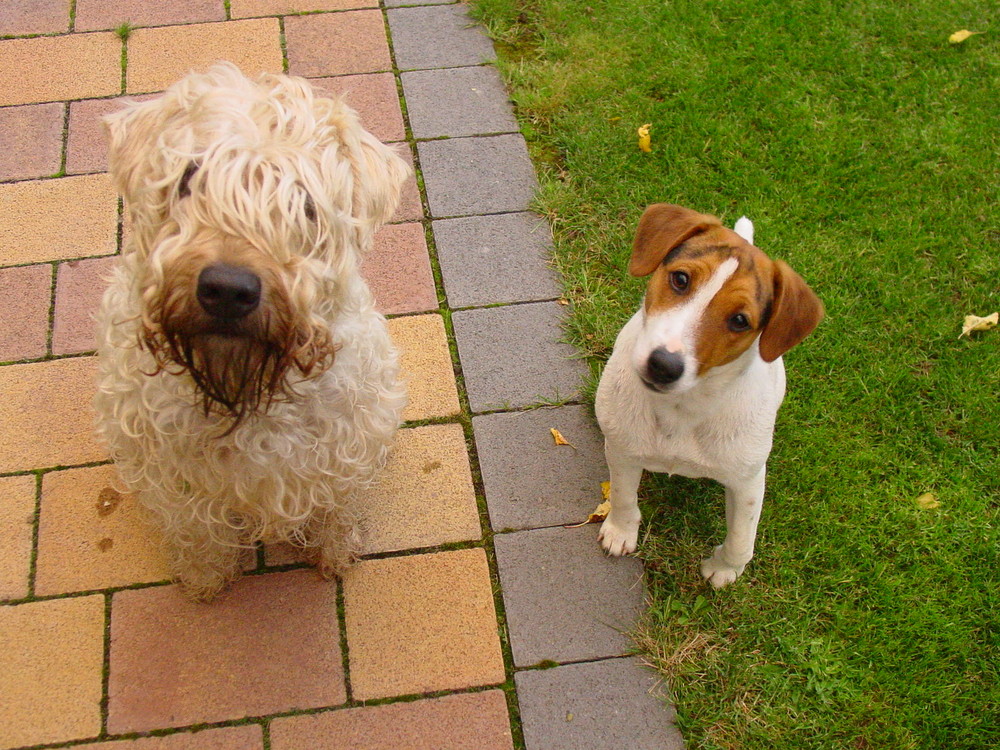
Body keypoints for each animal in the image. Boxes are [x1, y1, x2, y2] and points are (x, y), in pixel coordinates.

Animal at [94, 66, 406, 604]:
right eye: (188, 177)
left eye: (305, 202)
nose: (227, 289)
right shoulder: (171, 475)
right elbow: (195, 529)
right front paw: (204, 576)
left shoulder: (344, 447)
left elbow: (335, 507)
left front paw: (336, 550)